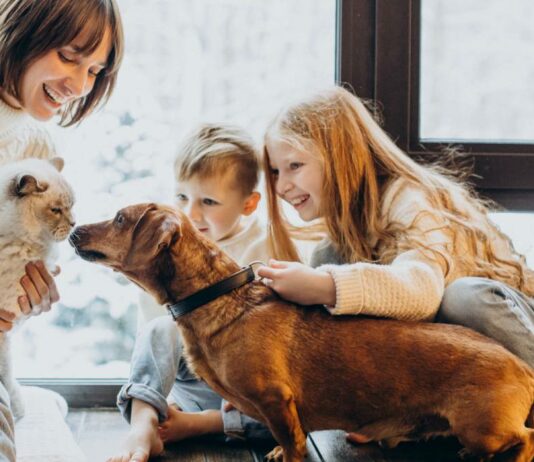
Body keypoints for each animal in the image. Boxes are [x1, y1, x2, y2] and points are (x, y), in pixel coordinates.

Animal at [0, 157, 76, 420]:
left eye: (72, 206)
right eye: (56, 210)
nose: (74, 223)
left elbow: (8, 375)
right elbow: (7, 374)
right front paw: (17, 409)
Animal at [70, 204, 534, 460]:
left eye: (119, 218)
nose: (73, 229)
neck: (218, 298)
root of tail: (523, 368)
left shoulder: (276, 400)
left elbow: (293, 442)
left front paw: (284, 452)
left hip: (482, 427)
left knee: (525, 439)